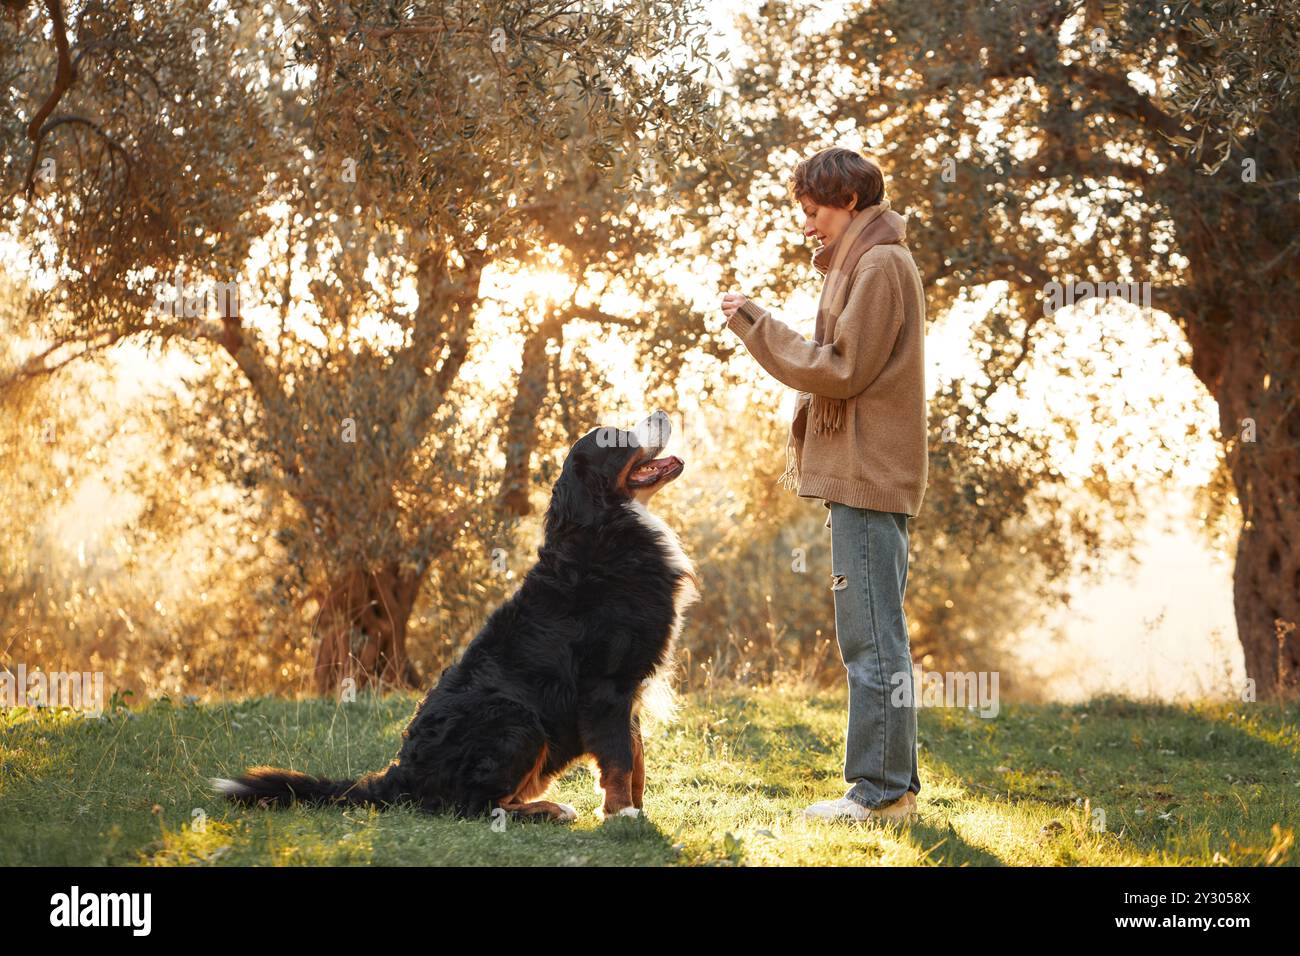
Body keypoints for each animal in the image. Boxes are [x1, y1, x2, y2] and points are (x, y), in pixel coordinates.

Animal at [213, 408, 696, 822]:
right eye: (615, 437)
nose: (661, 411)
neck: (606, 528)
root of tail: (400, 774)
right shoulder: (607, 685)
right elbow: (619, 759)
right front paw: (623, 814)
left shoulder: (630, 687)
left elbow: (636, 757)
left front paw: (635, 809)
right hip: (517, 720)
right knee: (474, 805)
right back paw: (549, 810)